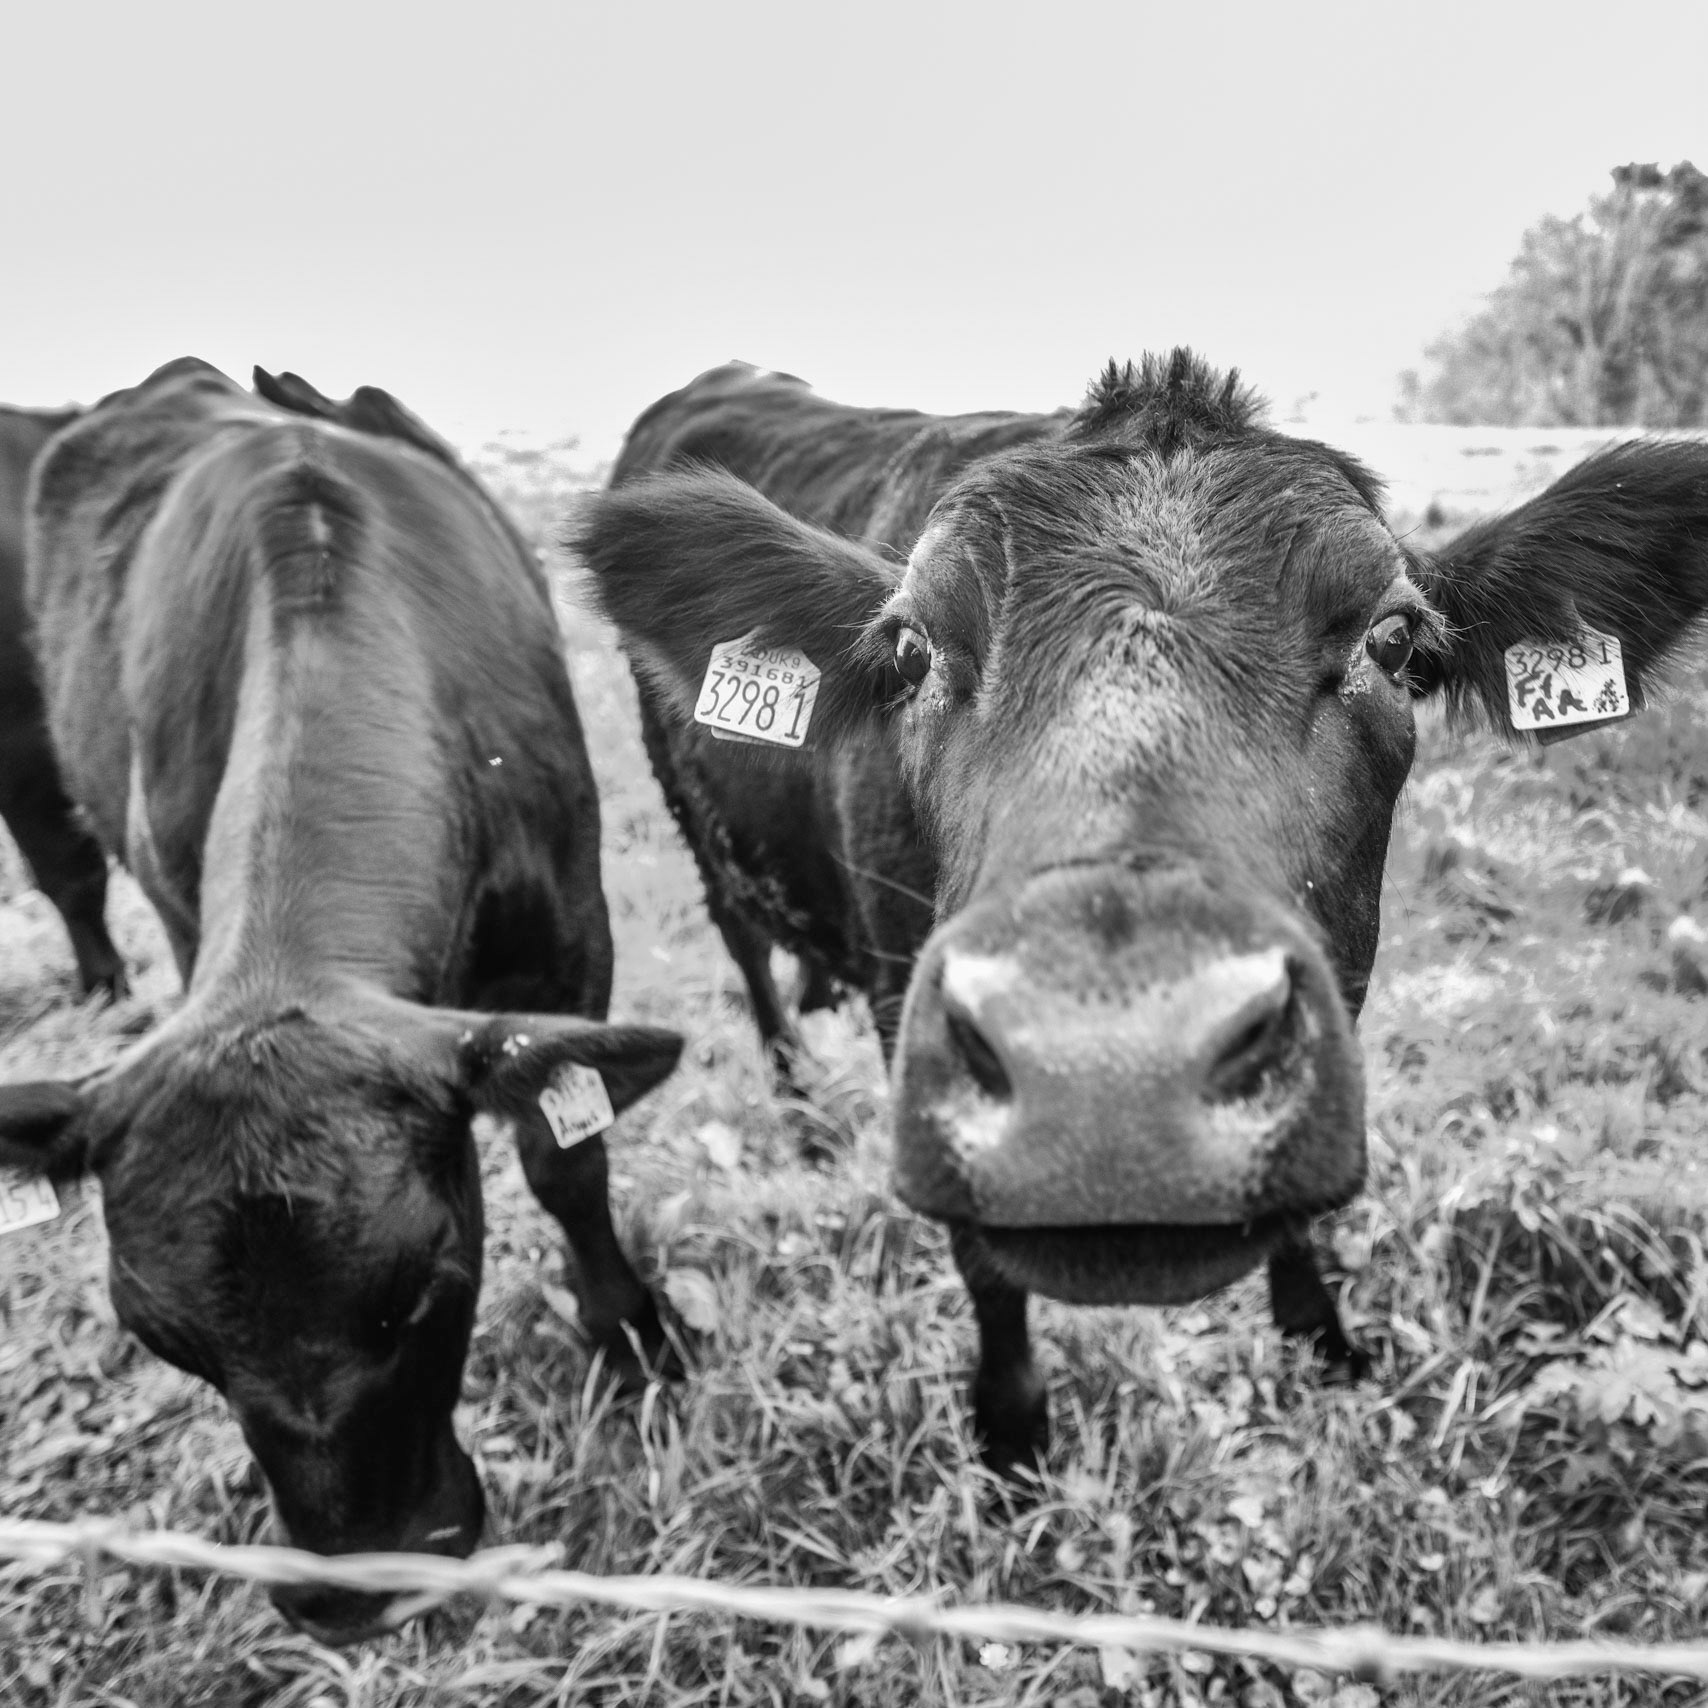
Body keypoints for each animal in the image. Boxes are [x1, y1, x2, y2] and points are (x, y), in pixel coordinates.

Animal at [0, 358, 682, 1642]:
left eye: (425, 1287)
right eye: (162, 1336)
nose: (349, 1593)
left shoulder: (573, 935)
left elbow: (568, 1162)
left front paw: (633, 1336)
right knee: (65, 868)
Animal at [571, 351, 1708, 1475]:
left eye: (1393, 639)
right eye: (910, 650)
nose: (1110, 1078)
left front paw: (1320, 1336)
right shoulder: (908, 1011)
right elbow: (983, 1265)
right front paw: (1012, 1431)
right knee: (746, 955)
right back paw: (800, 1104)